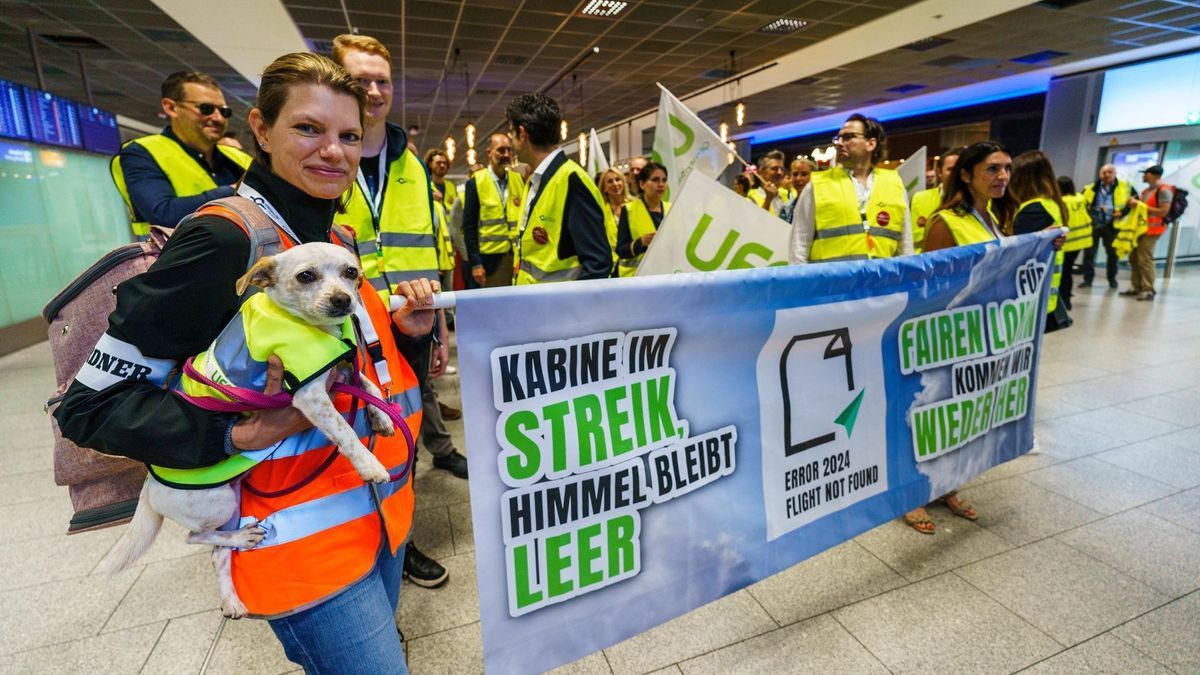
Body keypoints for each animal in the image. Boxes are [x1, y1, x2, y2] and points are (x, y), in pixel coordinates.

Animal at [98, 241, 396, 614]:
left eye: (350, 272)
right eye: (306, 276)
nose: (343, 299)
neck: (309, 325)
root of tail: (148, 486)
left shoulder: (337, 374)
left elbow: (367, 384)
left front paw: (383, 417)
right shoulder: (310, 394)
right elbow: (345, 431)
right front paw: (370, 465)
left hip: (231, 500)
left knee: (217, 553)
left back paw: (232, 600)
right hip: (218, 502)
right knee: (194, 536)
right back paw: (241, 538)